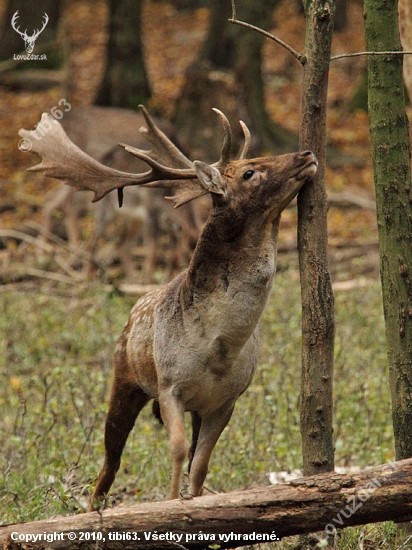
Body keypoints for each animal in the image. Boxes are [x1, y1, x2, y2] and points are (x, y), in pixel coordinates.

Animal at [18, 108, 318, 512]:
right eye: (249, 172)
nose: (306, 154)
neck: (220, 345)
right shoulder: (170, 385)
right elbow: (176, 450)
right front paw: (171, 506)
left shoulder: (225, 400)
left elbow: (200, 464)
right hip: (125, 379)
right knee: (109, 462)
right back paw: (92, 509)